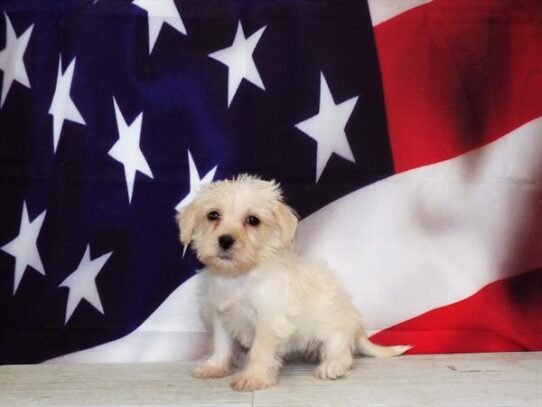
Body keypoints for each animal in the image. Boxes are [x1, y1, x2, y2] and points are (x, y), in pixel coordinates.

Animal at [178, 175, 412, 392]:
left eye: (253, 220)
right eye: (213, 215)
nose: (225, 240)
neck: (238, 276)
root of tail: (358, 329)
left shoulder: (269, 319)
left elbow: (260, 351)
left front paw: (253, 376)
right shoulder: (218, 316)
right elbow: (221, 345)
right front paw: (214, 367)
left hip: (333, 331)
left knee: (343, 353)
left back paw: (332, 367)